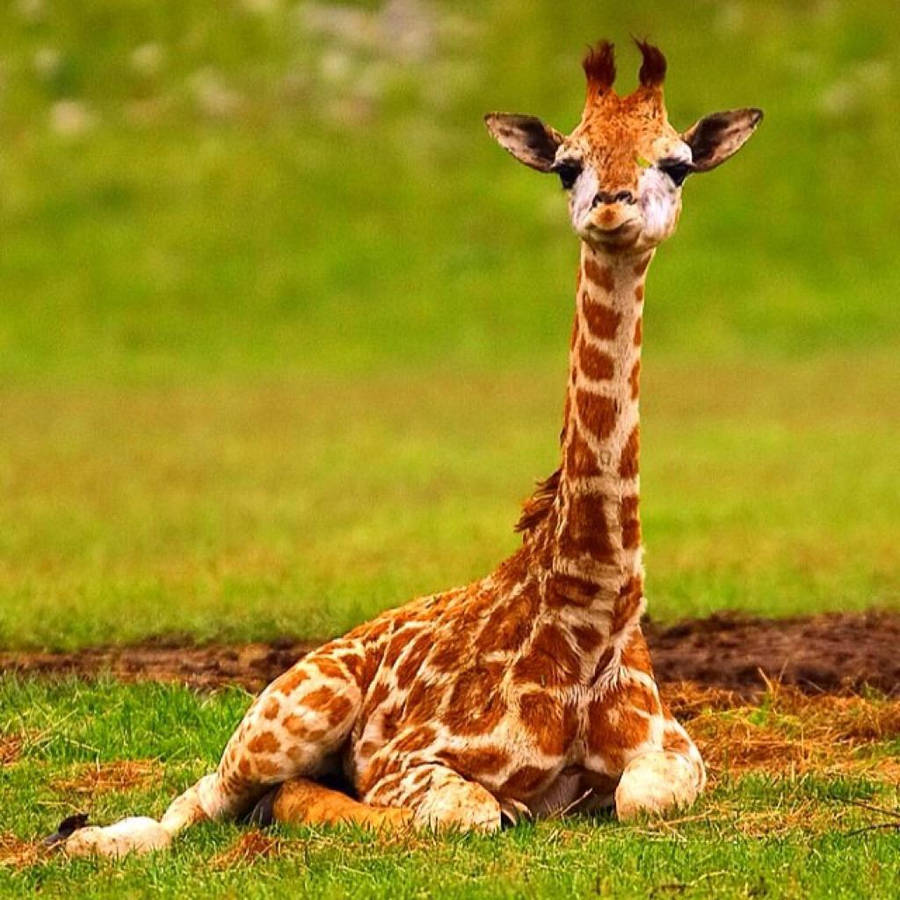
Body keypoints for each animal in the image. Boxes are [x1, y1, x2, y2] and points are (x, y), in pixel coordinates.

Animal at [56, 39, 762, 857]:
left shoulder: (674, 749)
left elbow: (641, 796)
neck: (589, 611)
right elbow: (472, 810)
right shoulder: (408, 758)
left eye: (677, 164)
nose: (611, 207)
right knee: (201, 801)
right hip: (296, 705)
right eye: (567, 165)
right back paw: (88, 839)